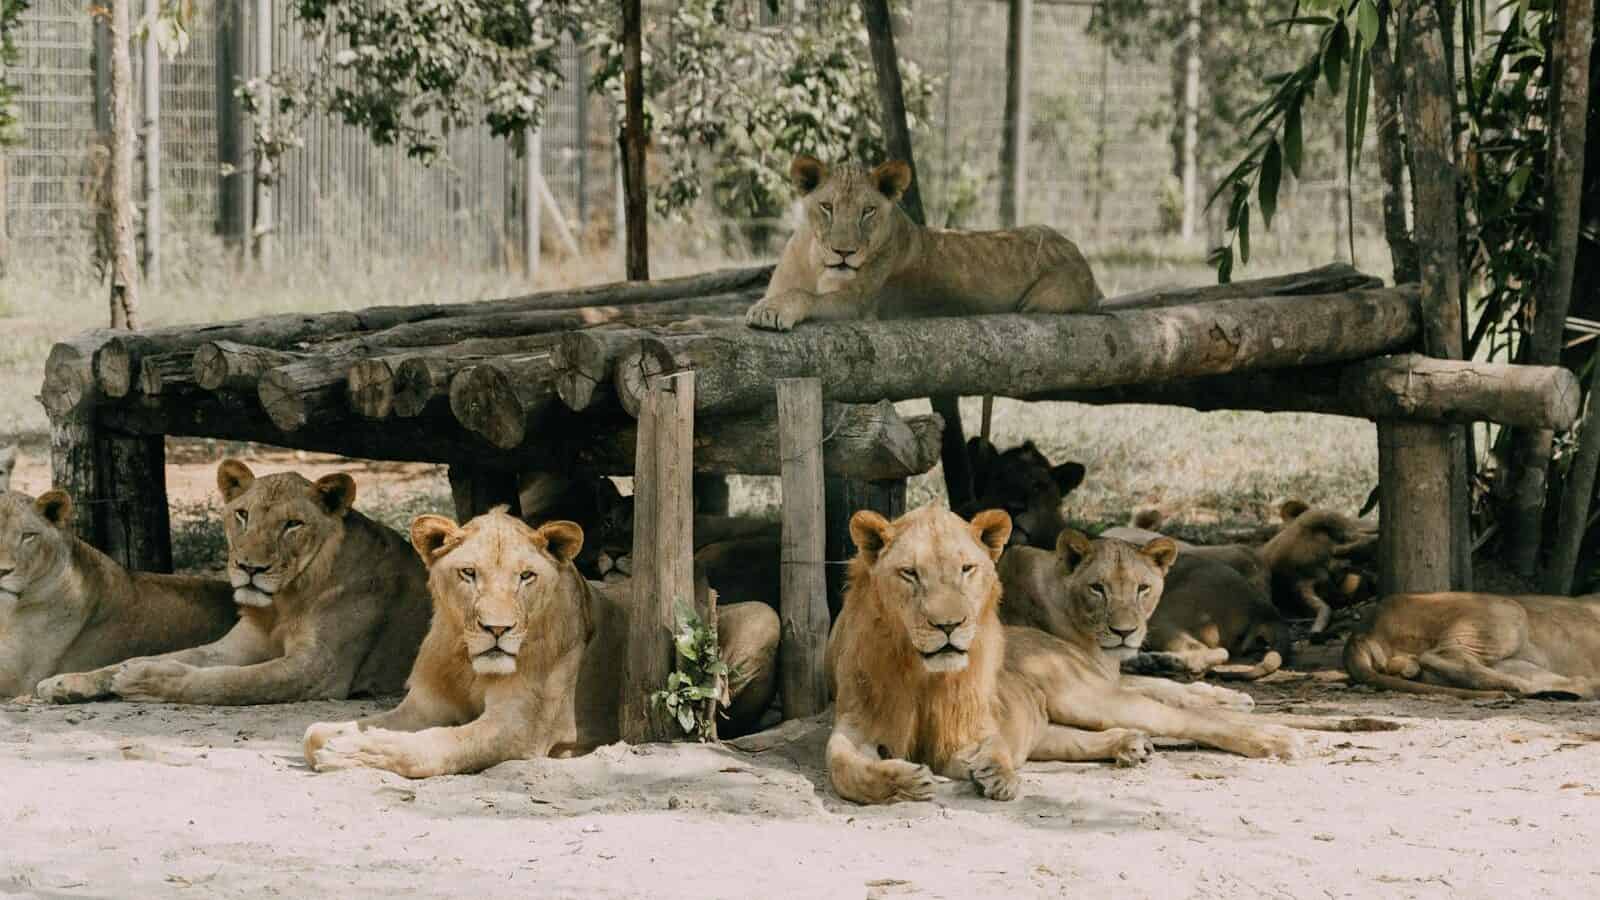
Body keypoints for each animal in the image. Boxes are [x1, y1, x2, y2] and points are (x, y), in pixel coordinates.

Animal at [35, 459, 432, 705]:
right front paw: (68, 682)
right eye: (242, 515)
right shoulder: (238, 646)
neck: (283, 603)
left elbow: (227, 682)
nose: (248, 567)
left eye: (292, 524)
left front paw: (145, 680)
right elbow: (149, 656)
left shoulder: (319, 668)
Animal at [304, 508, 781, 777]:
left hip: (764, 617)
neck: (468, 661)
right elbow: (317, 732)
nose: (496, 629)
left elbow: (435, 745)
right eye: (468, 573)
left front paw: (356, 749)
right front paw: (337, 736)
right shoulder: (424, 706)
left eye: (525, 577)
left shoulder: (518, 727)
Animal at [744, 156, 1101, 332]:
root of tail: (1080, 255)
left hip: (1043, 300)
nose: (844, 253)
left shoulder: (859, 306)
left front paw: (771, 311)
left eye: (867, 211)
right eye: (827, 207)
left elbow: (804, 295)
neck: (816, 263)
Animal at [824, 505, 1342, 806]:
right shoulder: (854, 723)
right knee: (1082, 735)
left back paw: (1276, 737)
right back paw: (1129, 745)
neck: (918, 670)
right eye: (909, 574)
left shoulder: (975, 726)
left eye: (967, 569)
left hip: (1086, 694)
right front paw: (900, 782)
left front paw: (994, 773)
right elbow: (841, 766)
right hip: (1056, 719)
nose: (949, 626)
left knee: (1185, 718)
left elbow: (988, 747)